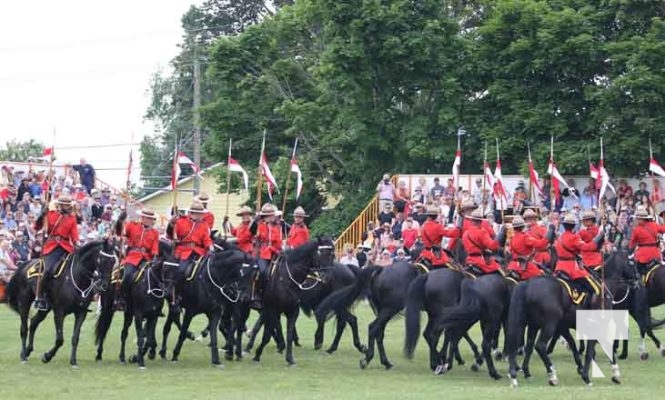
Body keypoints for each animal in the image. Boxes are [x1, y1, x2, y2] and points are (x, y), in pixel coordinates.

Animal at [5, 239, 115, 368]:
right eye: (101, 260)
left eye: (113, 261)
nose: (105, 285)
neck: (77, 278)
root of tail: (25, 264)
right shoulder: (59, 312)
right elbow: (60, 339)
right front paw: (47, 356)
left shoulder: (81, 313)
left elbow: (75, 338)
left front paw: (73, 361)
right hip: (24, 302)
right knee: (24, 328)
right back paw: (23, 355)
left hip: (45, 309)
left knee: (33, 323)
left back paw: (27, 350)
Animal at [250, 238, 334, 366]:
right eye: (321, 253)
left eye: (332, 255)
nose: (328, 277)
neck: (288, 278)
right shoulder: (274, 310)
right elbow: (268, 334)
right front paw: (257, 355)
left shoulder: (293, 311)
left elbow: (288, 334)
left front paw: (289, 358)